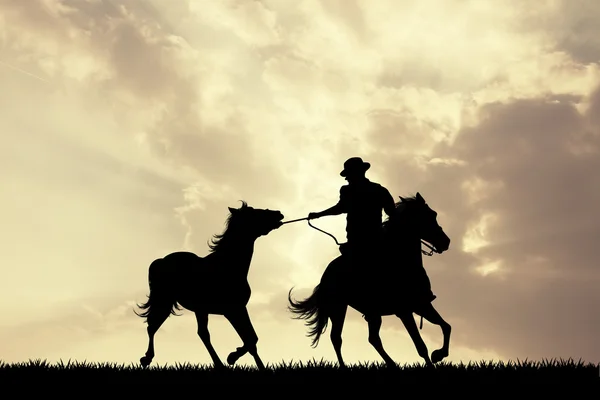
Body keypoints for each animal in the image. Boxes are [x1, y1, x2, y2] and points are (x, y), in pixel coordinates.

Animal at [135, 202, 284, 370]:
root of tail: (161, 260)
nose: (278, 213)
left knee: (202, 333)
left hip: (198, 309)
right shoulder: (232, 310)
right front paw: (232, 357)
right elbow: (251, 339)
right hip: (165, 301)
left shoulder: (238, 309)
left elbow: (252, 339)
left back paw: (219, 364)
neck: (228, 266)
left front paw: (257, 365)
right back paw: (147, 359)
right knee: (152, 326)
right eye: (254, 213)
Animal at [288, 192, 452, 368]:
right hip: (338, 308)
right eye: (428, 216)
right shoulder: (405, 311)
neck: (402, 262)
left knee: (373, 339)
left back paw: (392, 365)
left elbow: (446, 326)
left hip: (372, 313)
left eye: (434, 214)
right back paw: (345, 367)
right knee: (336, 337)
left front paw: (439, 354)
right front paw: (434, 360)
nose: (446, 242)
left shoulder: (422, 304)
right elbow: (420, 346)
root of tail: (326, 275)